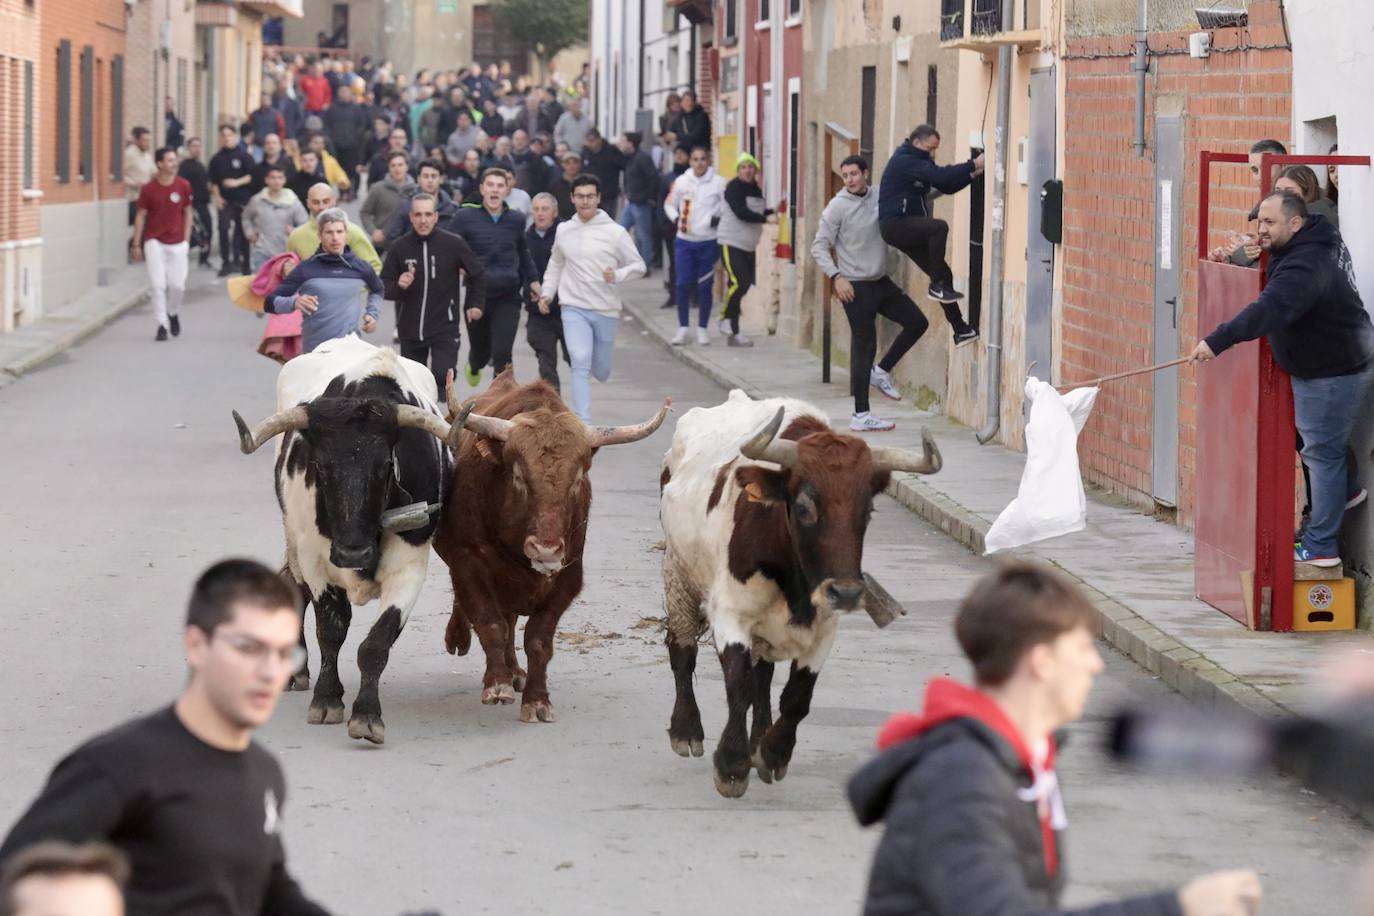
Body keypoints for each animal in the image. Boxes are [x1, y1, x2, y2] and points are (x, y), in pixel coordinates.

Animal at [233, 336, 469, 747]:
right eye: (321, 465)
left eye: (385, 466)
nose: (351, 552)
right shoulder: (315, 559)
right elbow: (331, 630)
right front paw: (327, 699)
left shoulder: (410, 566)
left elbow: (376, 643)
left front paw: (367, 715)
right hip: (293, 538)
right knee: (293, 585)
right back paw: (297, 671)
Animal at [428, 370, 665, 725]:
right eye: (518, 476)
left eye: (577, 480)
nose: (546, 550)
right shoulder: (468, 564)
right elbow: (490, 623)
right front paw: (497, 685)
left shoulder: (568, 578)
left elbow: (538, 639)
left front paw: (536, 699)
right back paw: (462, 641)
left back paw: (514, 672)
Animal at [656, 390, 939, 796]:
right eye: (805, 506)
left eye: (868, 510)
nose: (847, 592)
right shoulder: (730, 611)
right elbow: (738, 685)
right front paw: (731, 765)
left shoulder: (825, 626)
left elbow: (796, 696)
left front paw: (771, 754)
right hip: (677, 572)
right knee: (683, 649)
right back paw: (686, 729)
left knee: (763, 676)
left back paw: (758, 739)